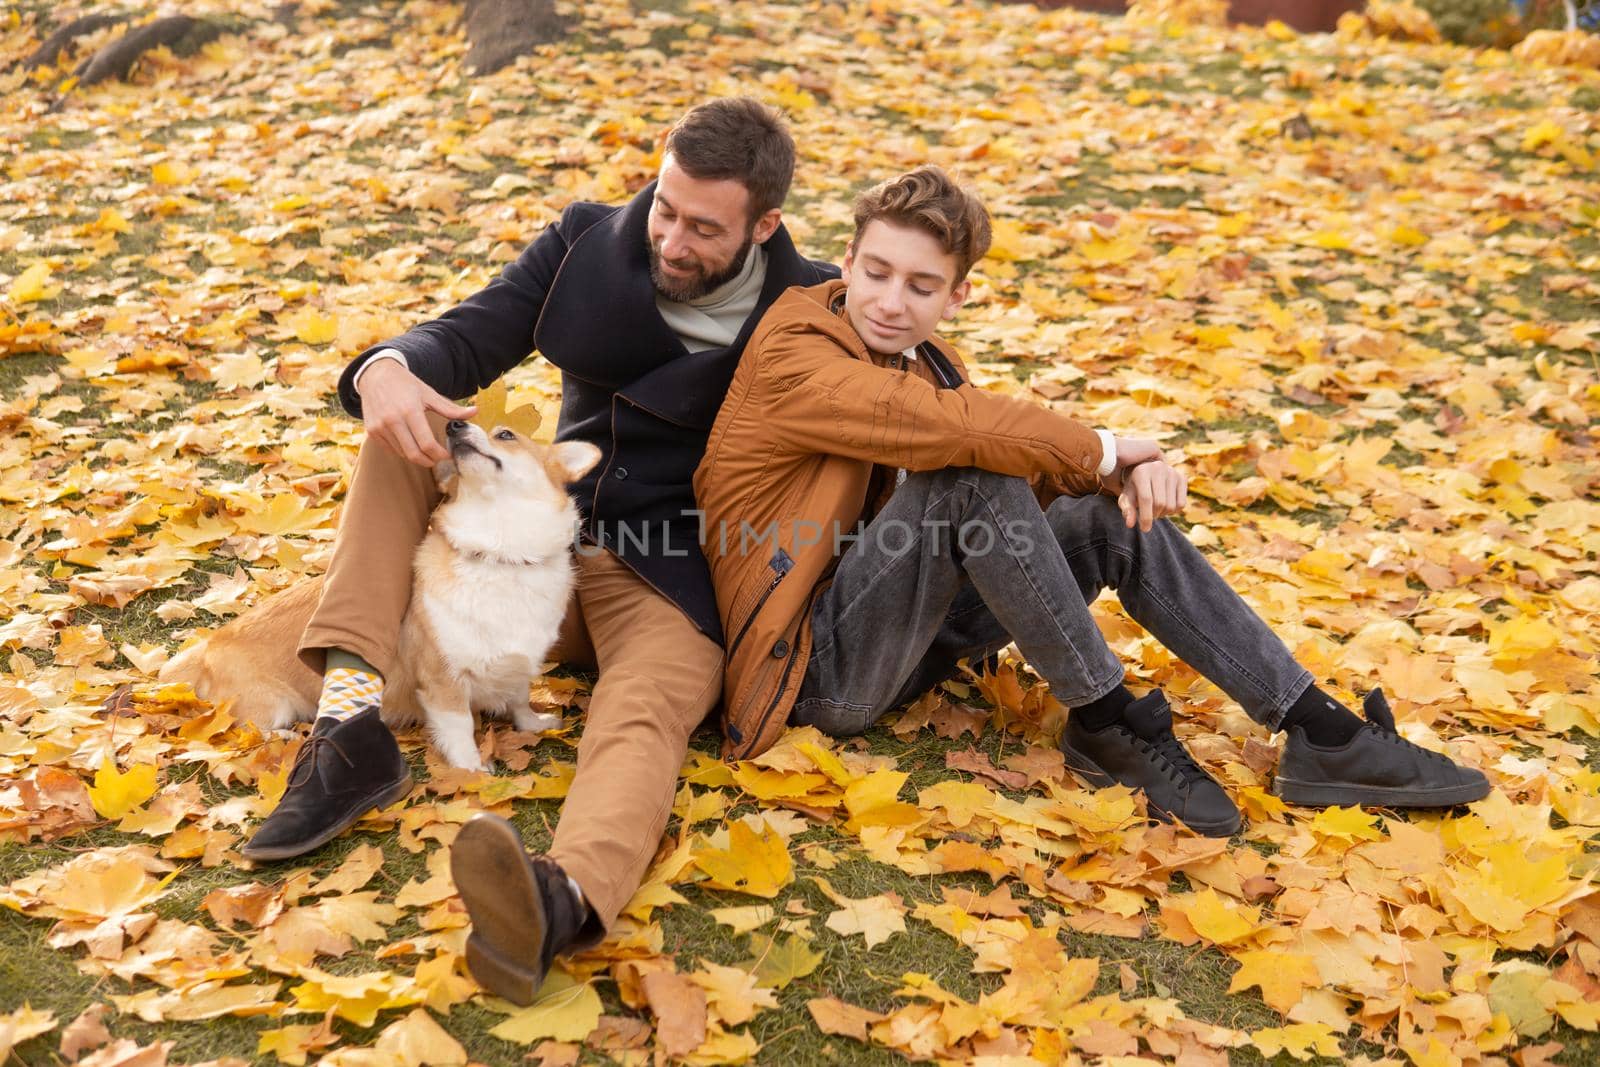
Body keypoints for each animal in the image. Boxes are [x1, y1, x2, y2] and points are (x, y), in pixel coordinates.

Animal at [162, 422, 601, 771]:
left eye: (506, 435)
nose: (453, 425)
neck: (500, 551)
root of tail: (207, 647)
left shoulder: (518, 666)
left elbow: (520, 699)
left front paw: (534, 725)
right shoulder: (442, 681)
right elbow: (460, 727)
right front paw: (471, 772)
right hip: (272, 705)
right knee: (251, 730)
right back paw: (287, 739)